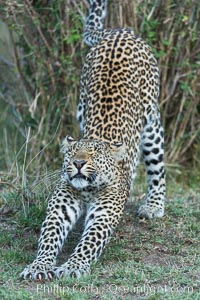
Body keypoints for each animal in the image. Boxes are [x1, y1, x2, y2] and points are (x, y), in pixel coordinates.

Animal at [20, 0, 166, 282]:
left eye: (94, 155)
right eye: (72, 153)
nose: (78, 164)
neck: (87, 190)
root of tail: (120, 31)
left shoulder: (104, 213)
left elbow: (90, 241)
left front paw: (73, 266)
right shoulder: (61, 206)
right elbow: (49, 236)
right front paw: (39, 266)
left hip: (151, 125)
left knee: (157, 167)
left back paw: (153, 206)